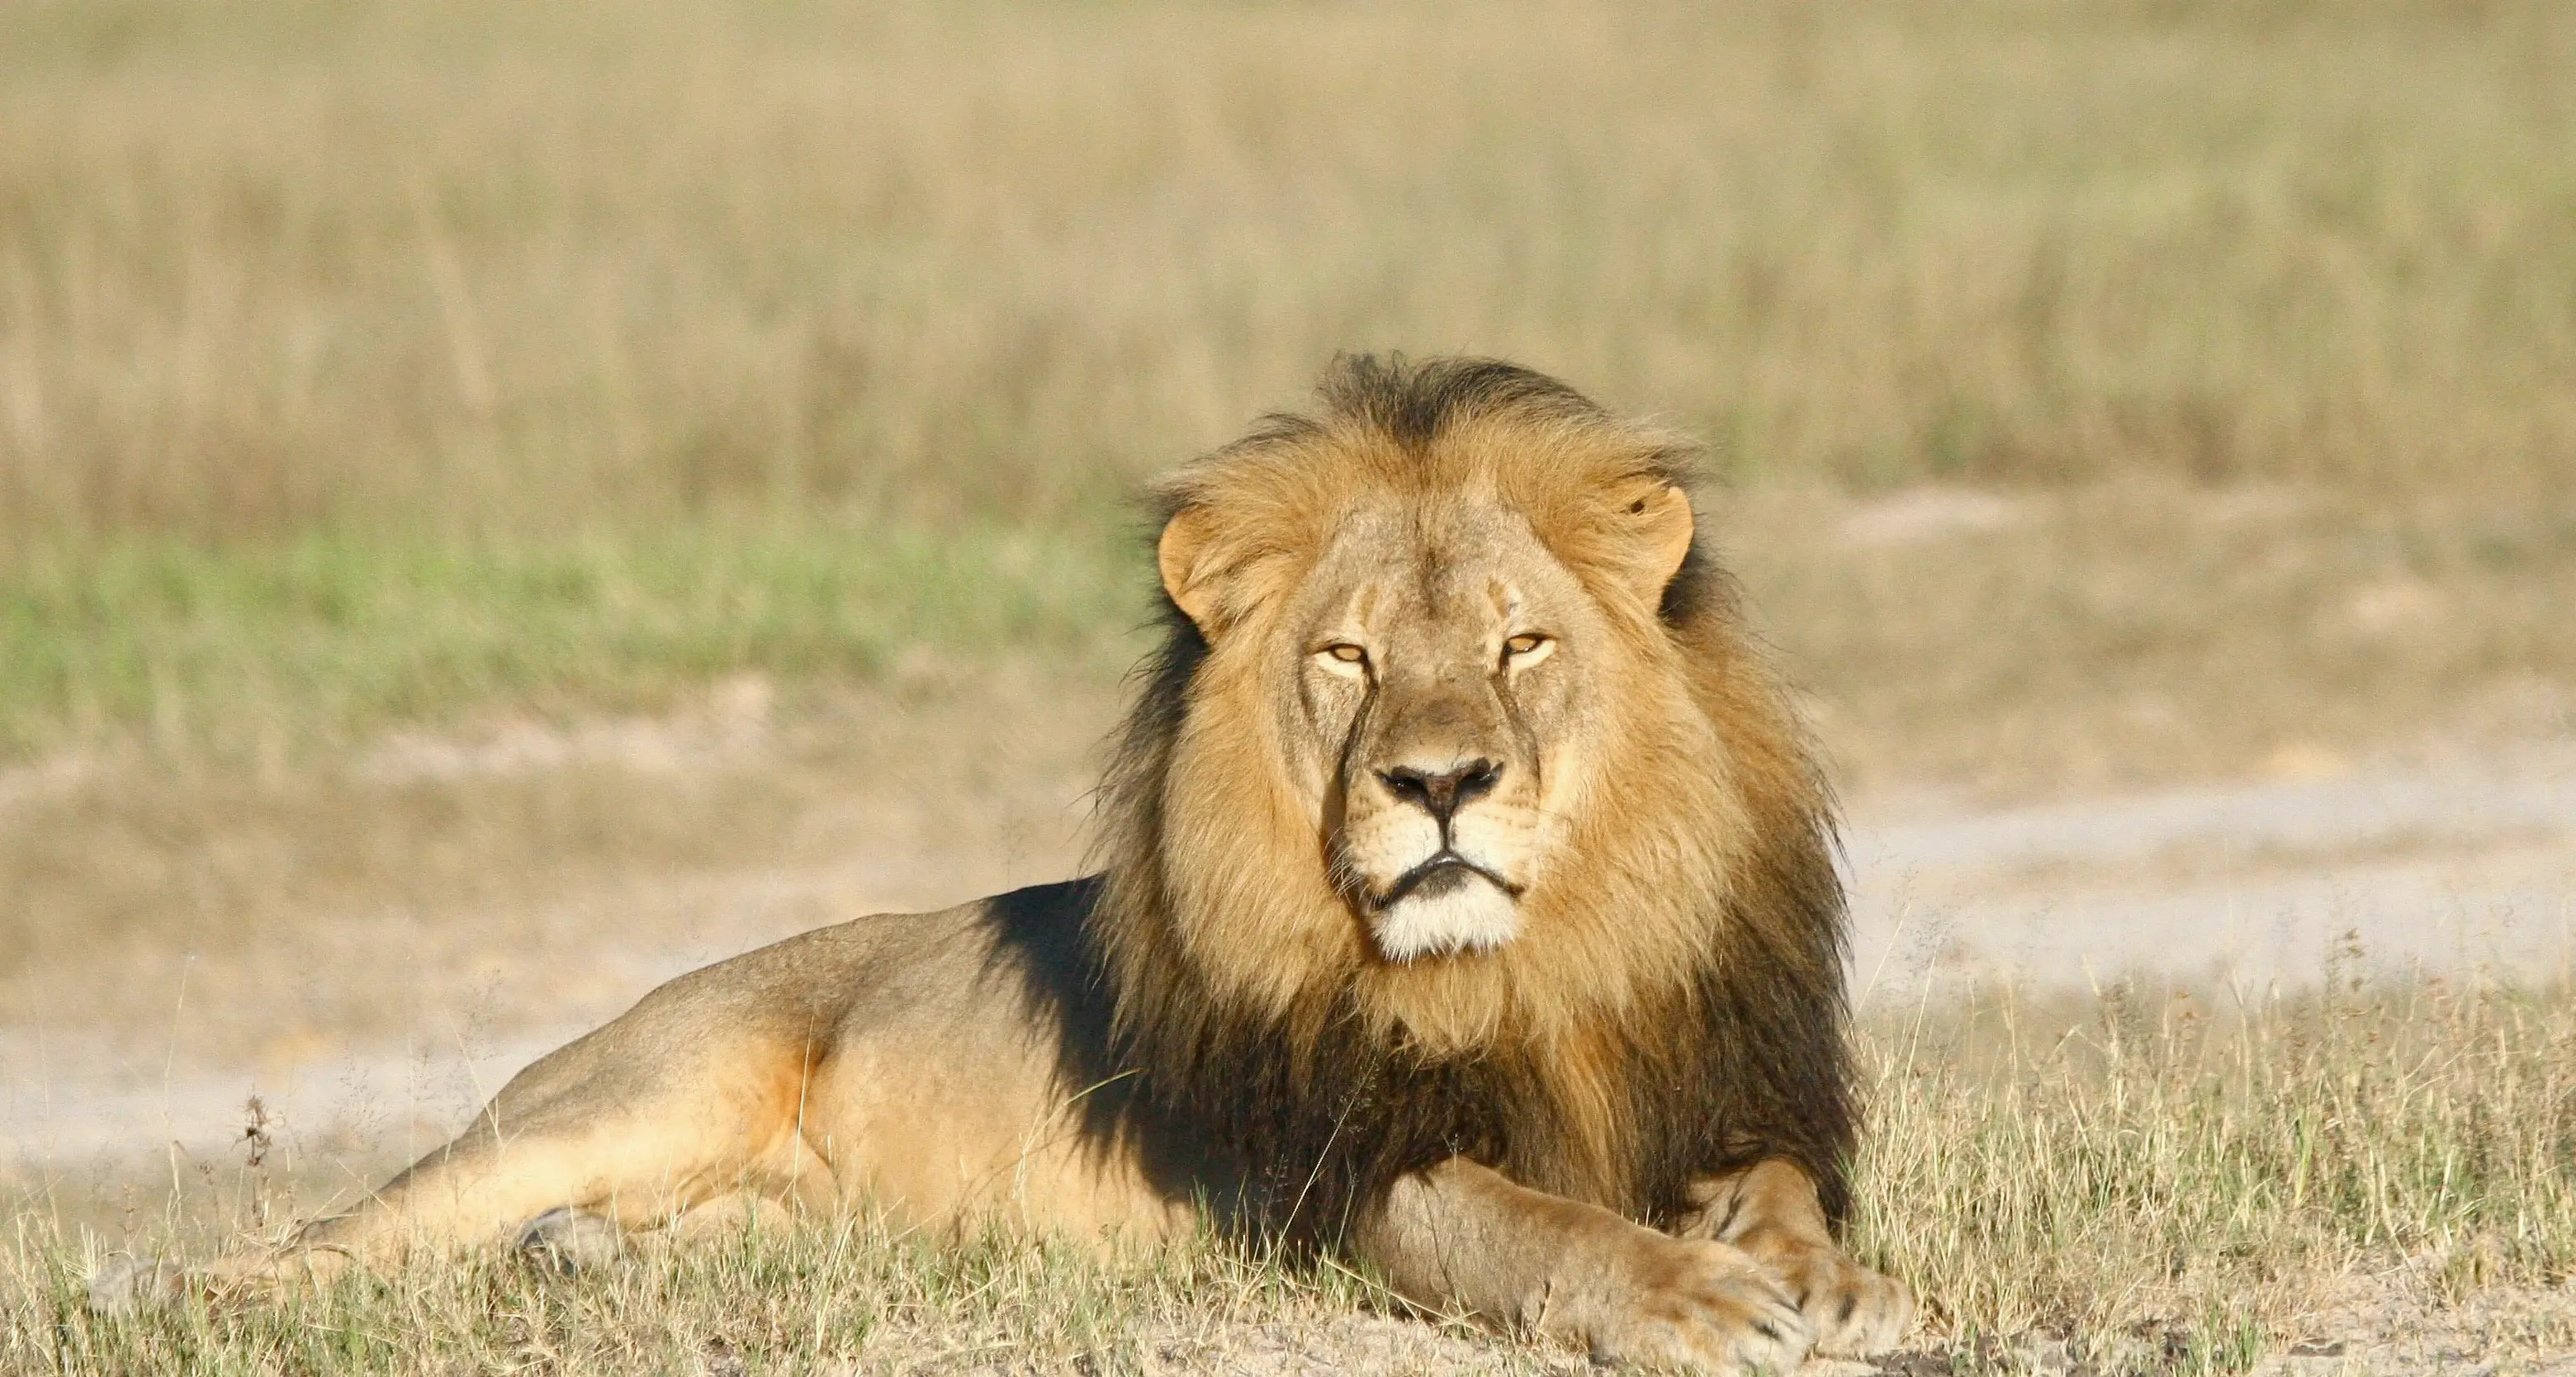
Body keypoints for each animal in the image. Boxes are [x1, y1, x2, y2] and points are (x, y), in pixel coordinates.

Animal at [92, 356, 1911, 1372]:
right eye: (1348, 658)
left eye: (1523, 644)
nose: (1441, 781)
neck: (1530, 966)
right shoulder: (1330, 1178)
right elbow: (1535, 1230)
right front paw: (1696, 1300)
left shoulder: (1718, 1087)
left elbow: (1783, 1189)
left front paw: (1828, 1283)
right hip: (631, 1092)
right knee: (353, 1233)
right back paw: (163, 1295)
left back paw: (585, 1260)